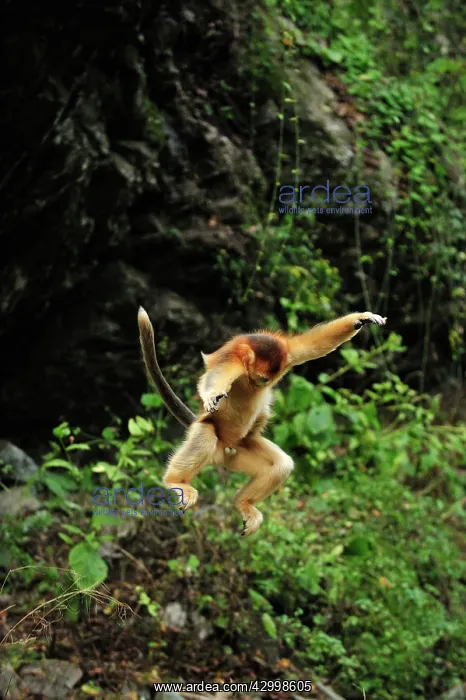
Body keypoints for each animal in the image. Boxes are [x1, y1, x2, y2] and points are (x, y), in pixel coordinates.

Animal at [138, 307, 387, 536]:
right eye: (262, 378)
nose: (264, 383)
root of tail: (225, 451)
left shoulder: (287, 352)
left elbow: (316, 345)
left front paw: (362, 319)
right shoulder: (231, 360)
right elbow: (215, 378)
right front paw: (211, 395)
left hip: (241, 450)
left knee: (281, 464)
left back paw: (243, 504)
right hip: (214, 439)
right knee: (206, 433)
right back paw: (175, 481)